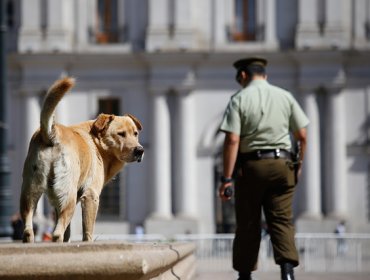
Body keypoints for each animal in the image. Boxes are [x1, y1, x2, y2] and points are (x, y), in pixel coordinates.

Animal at [19, 77, 145, 243]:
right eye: (121, 134)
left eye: (135, 133)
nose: (140, 150)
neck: (96, 141)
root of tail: (51, 132)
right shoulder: (91, 196)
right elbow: (87, 233)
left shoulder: (56, 202)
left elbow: (68, 232)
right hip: (69, 197)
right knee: (57, 233)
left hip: (30, 192)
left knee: (29, 230)